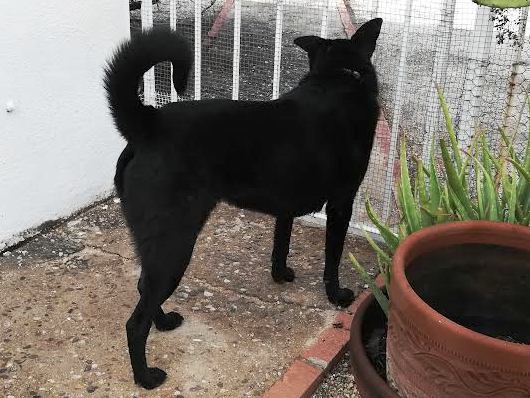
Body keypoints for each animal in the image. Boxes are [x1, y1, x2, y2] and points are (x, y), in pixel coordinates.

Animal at [104, 18, 380, 388]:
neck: (338, 75)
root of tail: (149, 124)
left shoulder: (285, 207)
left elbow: (281, 243)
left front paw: (281, 274)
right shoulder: (341, 204)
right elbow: (332, 259)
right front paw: (337, 295)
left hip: (158, 245)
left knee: (143, 288)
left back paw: (163, 323)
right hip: (174, 245)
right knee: (135, 321)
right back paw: (146, 376)